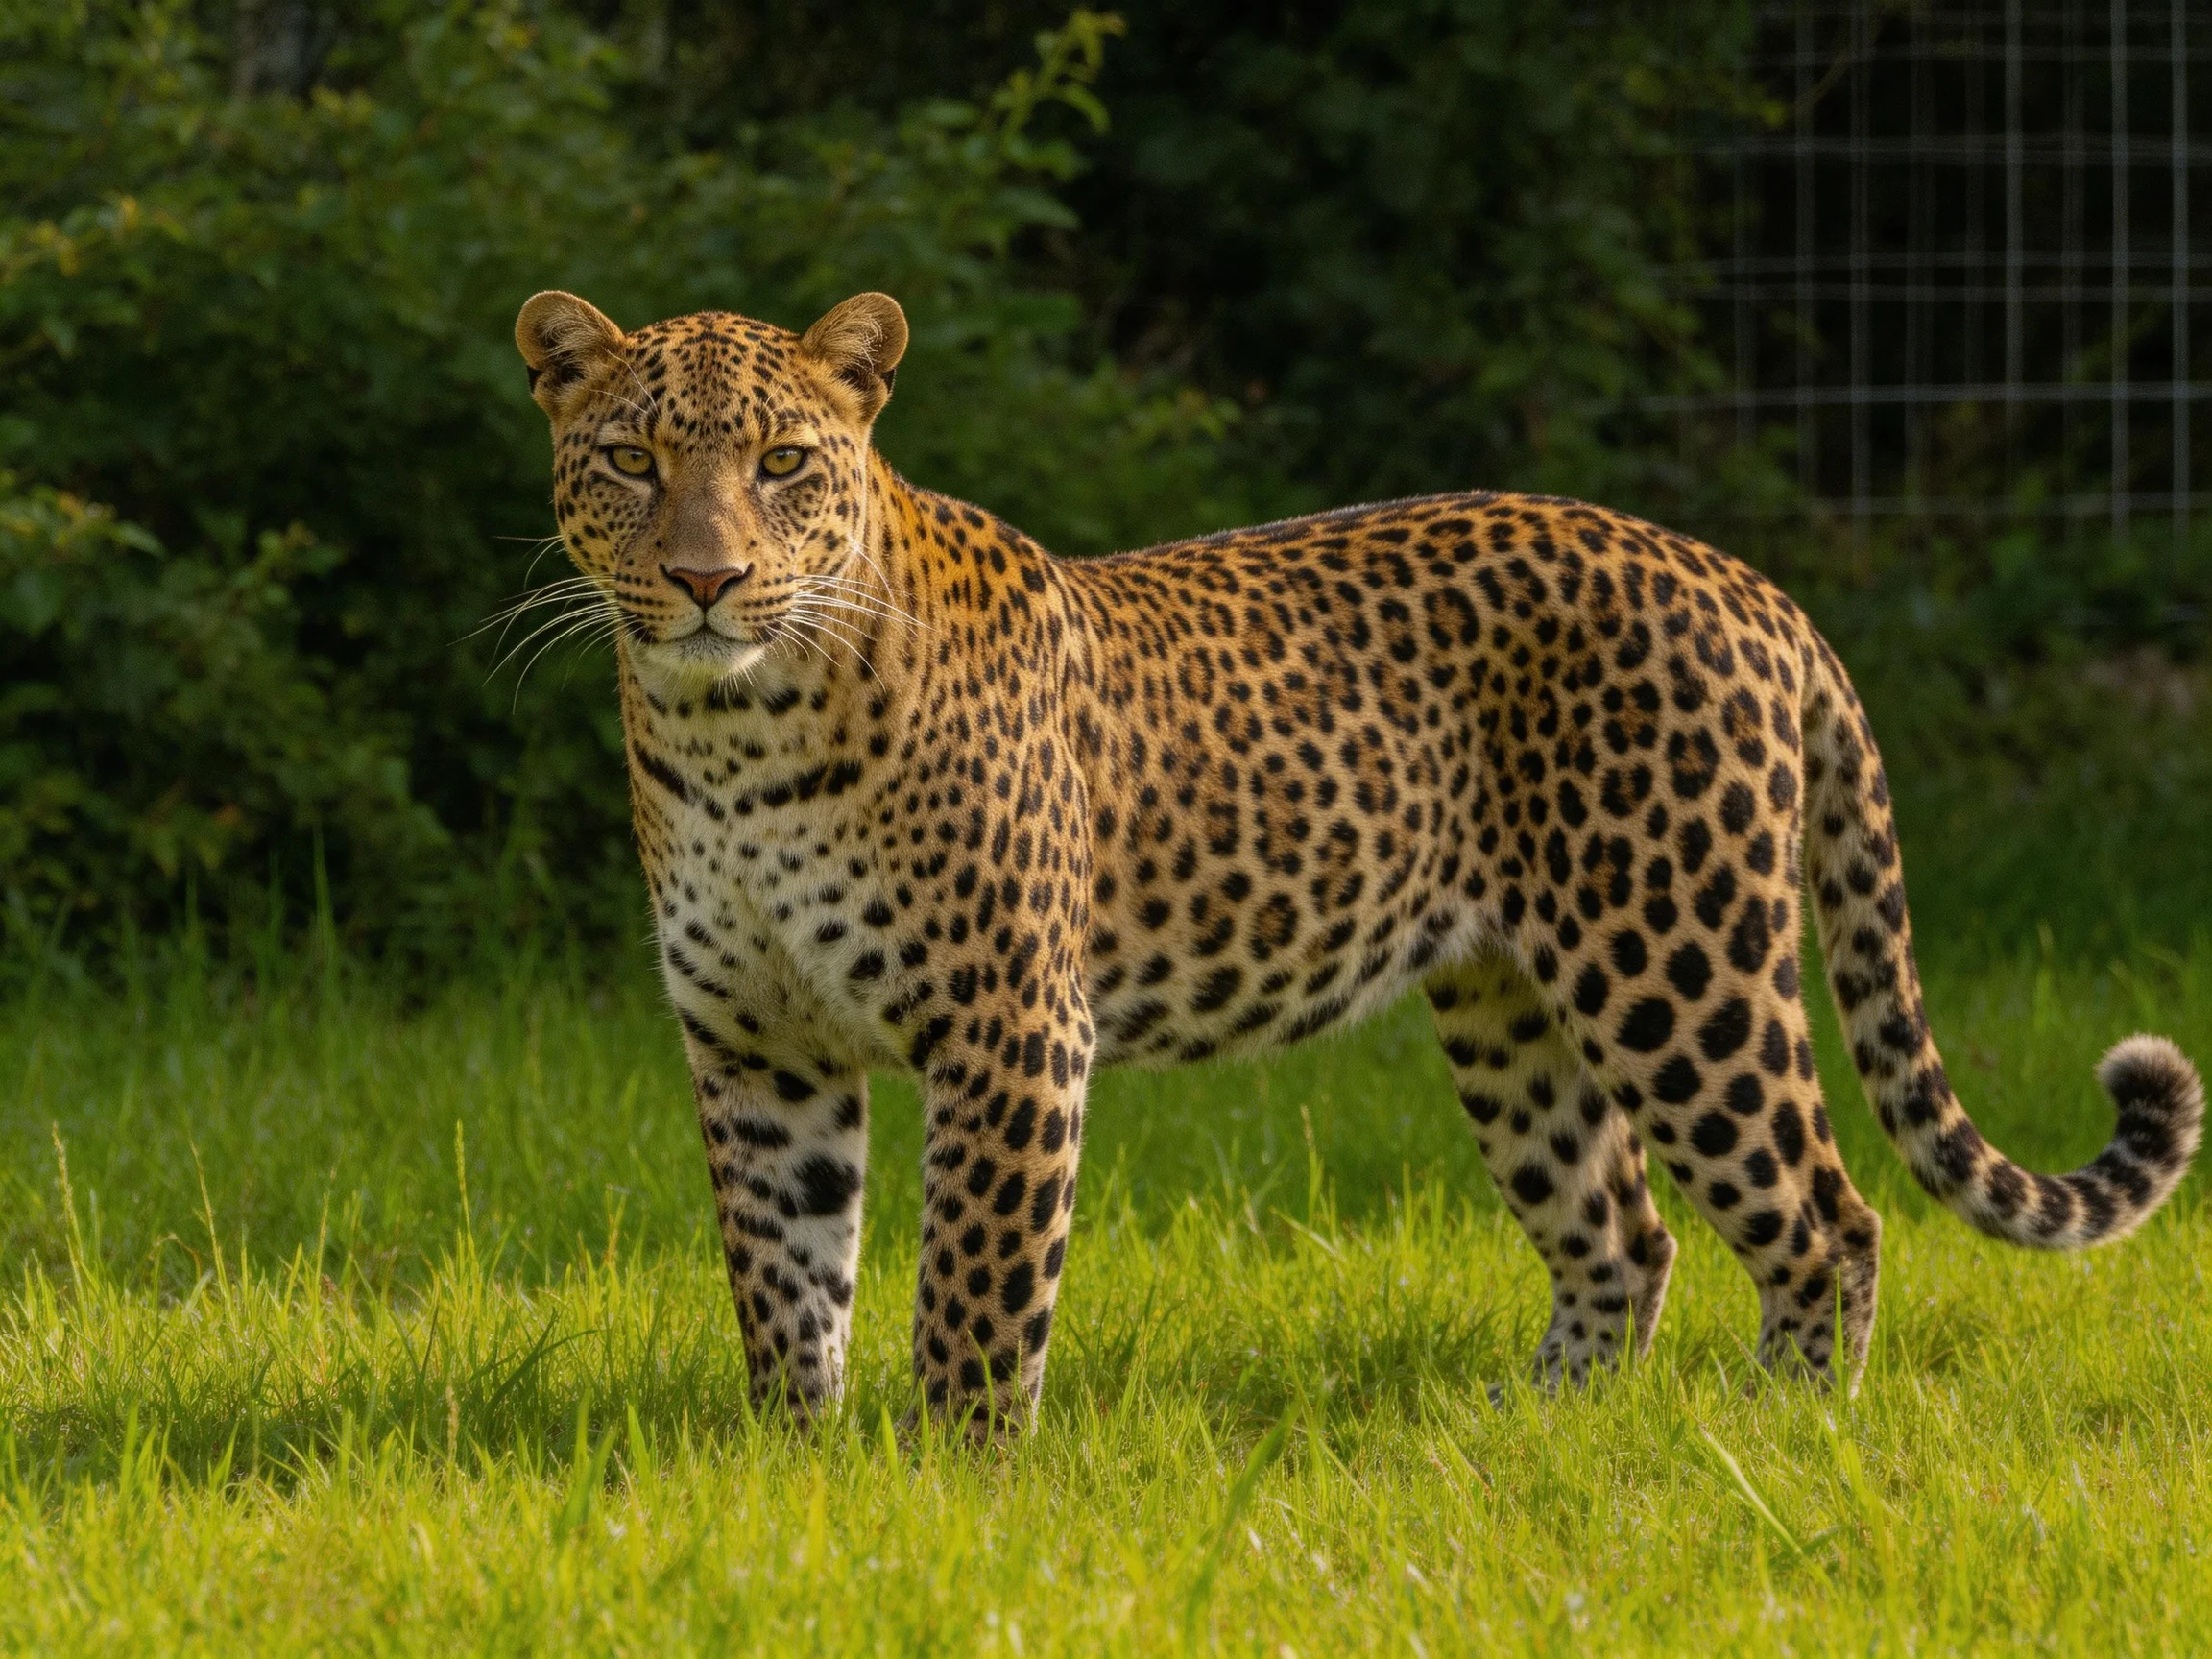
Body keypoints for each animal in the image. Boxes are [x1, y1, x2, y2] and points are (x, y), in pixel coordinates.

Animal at [514, 286, 2205, 1437]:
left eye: (784, 463)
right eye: (632, 459)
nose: (707, 578)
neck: (735, 734)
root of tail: (1749, 585)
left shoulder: (1008, 1029)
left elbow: (976, 1289)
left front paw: (956, 1483)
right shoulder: (758, 1044)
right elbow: (784, 1280)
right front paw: (799, 1471)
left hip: (1678, 969)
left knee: (1824, 1217)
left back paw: (1780, 1436)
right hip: (1513, 1007)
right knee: (1623, 1234)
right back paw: (1539, 1442)